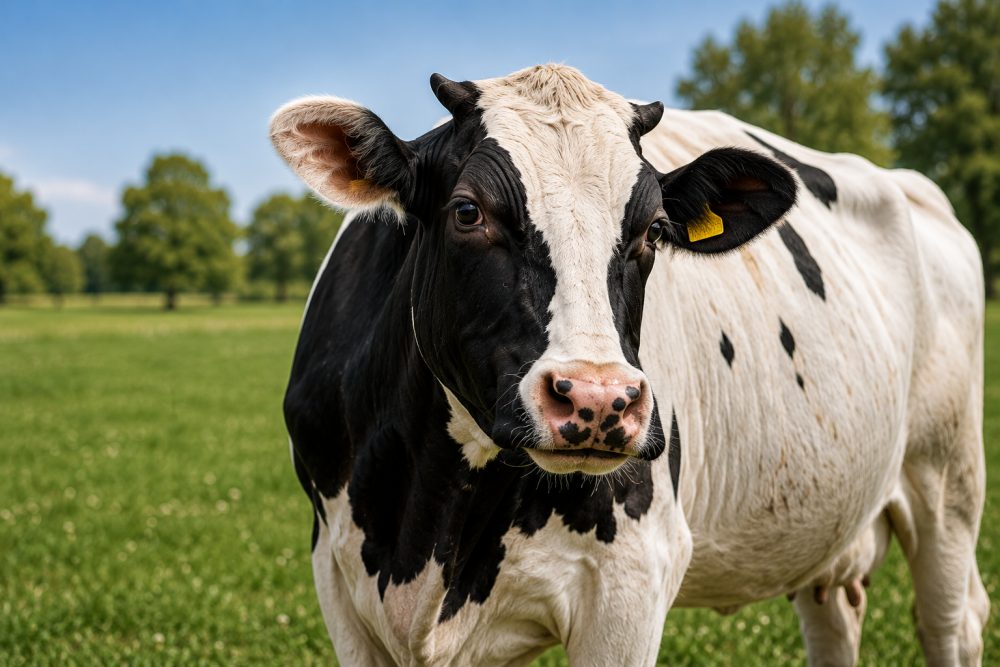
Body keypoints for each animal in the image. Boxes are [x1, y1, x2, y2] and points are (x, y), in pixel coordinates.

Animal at [271, 64, 988, 666]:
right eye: (467, 211)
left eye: (654, 230)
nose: (596, 399)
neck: (428, 522)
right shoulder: (337, 579)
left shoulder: (631, 582)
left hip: (949, 479)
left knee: (952, 621)